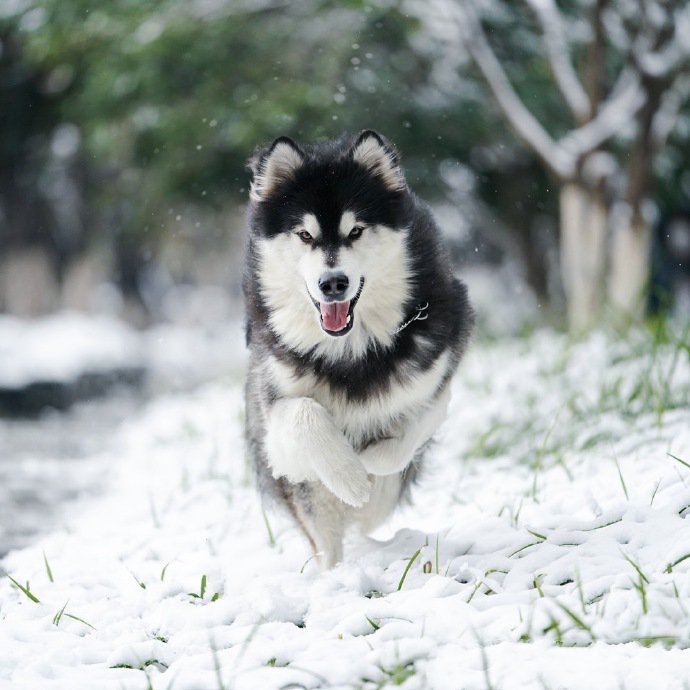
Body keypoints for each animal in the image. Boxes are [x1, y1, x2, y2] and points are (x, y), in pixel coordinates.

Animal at [242, 129, 472, 564]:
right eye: (305, 235)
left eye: (355, 231)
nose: (333, 283)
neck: (351, 351)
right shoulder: (276, 415)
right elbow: (305, 414)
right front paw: (349, 475)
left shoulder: (438, 379)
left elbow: (412, 429)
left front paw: (369, 463)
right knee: (326, 538)